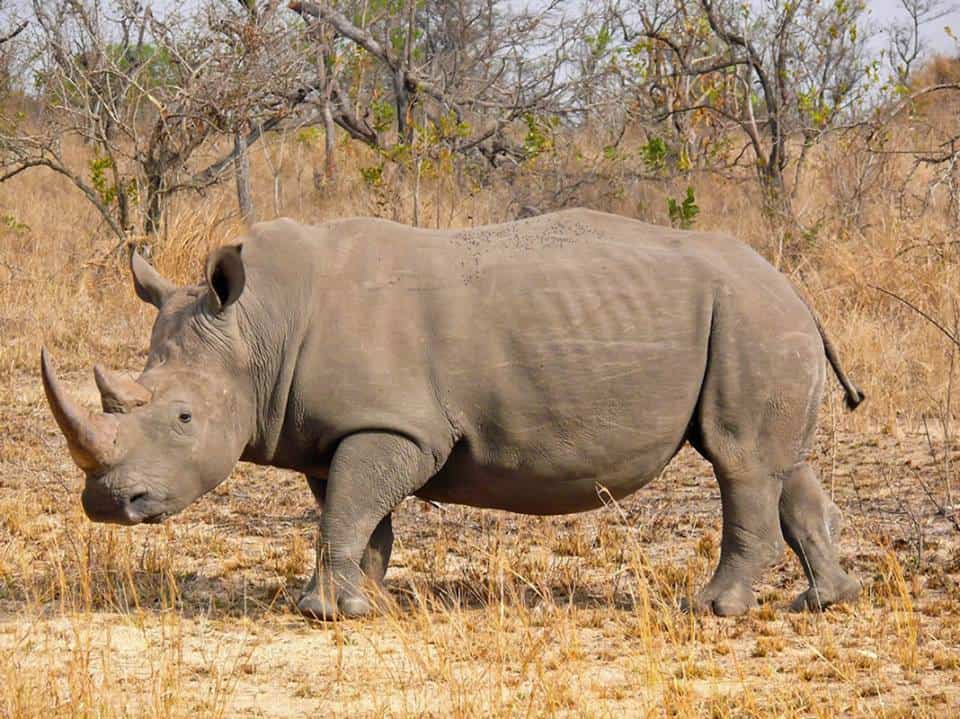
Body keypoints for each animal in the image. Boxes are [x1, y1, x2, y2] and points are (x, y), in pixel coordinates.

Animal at [41, 208, 863, 619]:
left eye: (182, 419)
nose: (108, 503)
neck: (258, 327)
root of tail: (795, 287)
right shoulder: (340, 426)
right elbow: (360, 517)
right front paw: (366, 600)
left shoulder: (396, 424)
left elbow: (346, 510)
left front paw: (323, 612)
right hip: (759, 318)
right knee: (782, 465)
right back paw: (821, 601)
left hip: (750, 315)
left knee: (739, 461)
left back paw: (715, 610)